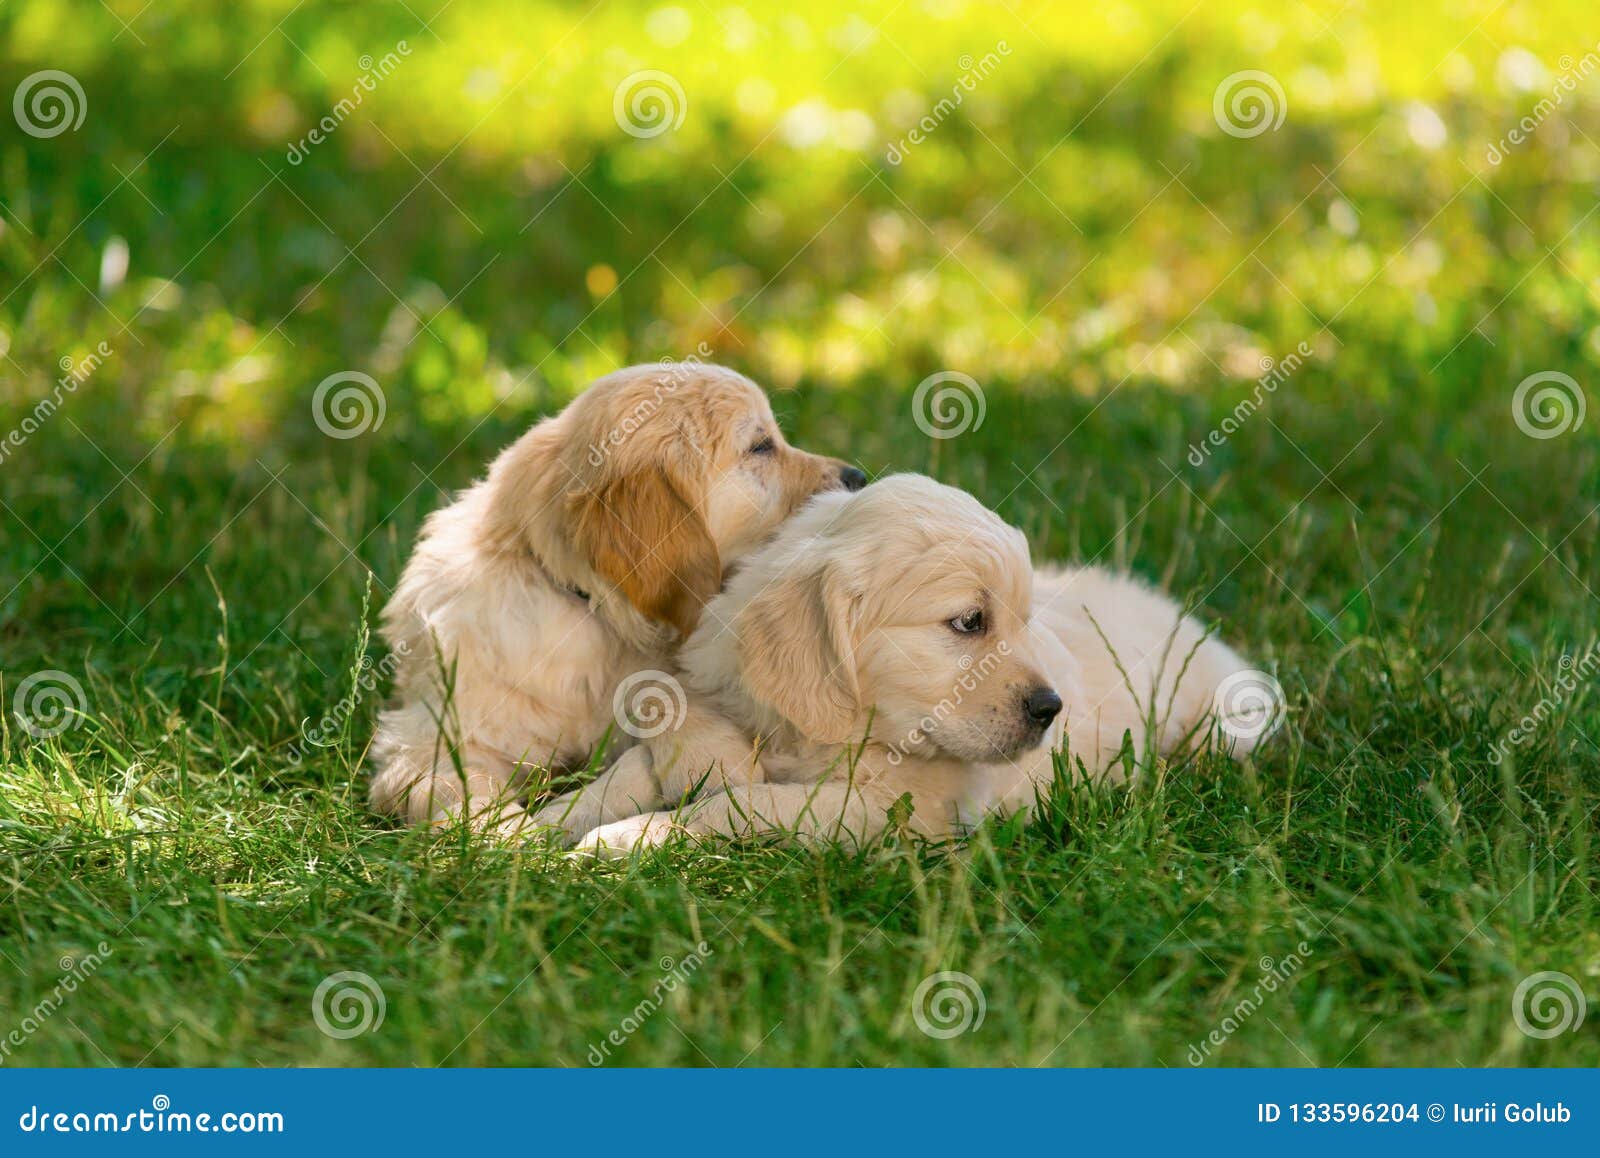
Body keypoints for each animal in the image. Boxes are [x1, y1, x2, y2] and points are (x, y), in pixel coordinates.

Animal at [368, 359, 864, 831]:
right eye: (761, 446)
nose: (858, 476)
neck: (590, 606)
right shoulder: (432, 735)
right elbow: (456, 788)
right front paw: (509, 840)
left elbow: (667, 692)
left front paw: (712, 754)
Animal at [531, 467, 1267, 850]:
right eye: (970, 622)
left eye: (1024, 620)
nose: (1050, 709)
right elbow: (625, 775)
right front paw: (535, 832)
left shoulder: (894, 807)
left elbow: (743, 804)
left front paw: (625, 841)